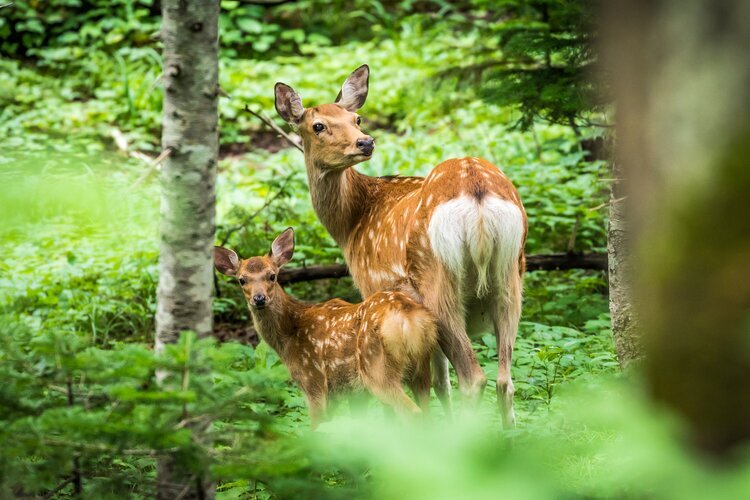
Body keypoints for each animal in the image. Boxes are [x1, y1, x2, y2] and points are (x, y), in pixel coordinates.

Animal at [214, 228, 437, 429]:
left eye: (272, 276)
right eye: (242, 280)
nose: (259, 299)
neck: (289, 336)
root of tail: (409, 317)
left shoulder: (313, 380)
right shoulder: (351, 392)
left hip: (376, 368)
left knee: (413, 413)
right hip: (421, 367)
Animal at [274, 65, 527, 428]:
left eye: (356, 118)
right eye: (318, 125)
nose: (365, 142)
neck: (352, 224)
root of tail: (477, 192)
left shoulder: (372, 289)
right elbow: (439, 382)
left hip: (438, 284)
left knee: (472, 378)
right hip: (511, 279)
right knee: (505, 380)